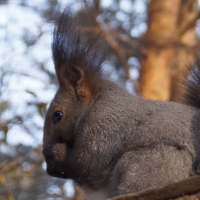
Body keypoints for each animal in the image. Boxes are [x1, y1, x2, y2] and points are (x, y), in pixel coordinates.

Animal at [42, 9, 200, 198]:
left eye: (57, 115)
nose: (45, 153)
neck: (96, 103)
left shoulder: (104, 126)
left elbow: (87, 163)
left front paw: (54, 154)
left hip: (150, 162)